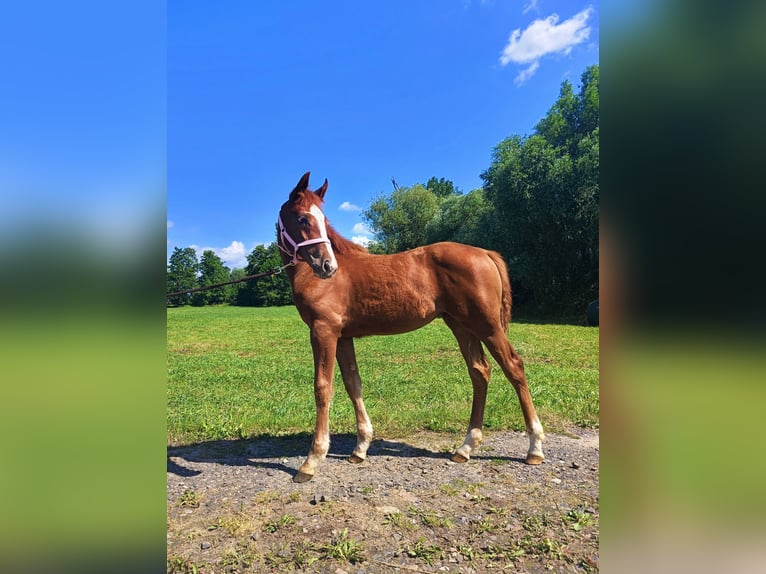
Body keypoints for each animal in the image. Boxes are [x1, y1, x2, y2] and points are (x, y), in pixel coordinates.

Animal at [277, 172, 545, 483]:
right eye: (303, 218)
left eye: (322, 218)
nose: (326, 265)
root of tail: (485, 253)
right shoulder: (343, 337)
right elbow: (353, 383)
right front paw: (360, 448)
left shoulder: (323, 332)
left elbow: (323, 387)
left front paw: (312, 460)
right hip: (461, 325)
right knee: (480, 371)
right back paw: (465, 448)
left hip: (487, 326)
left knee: (514, 367)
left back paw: (535, 448)